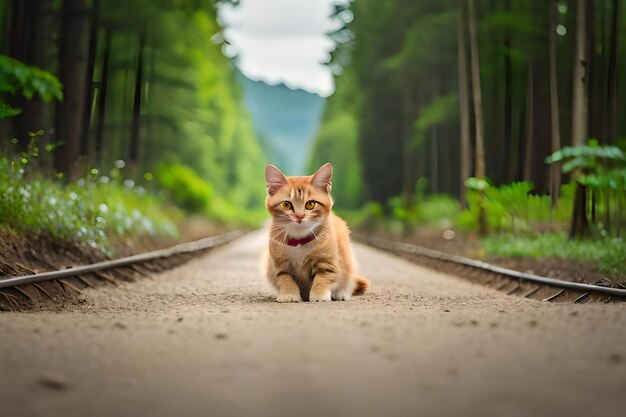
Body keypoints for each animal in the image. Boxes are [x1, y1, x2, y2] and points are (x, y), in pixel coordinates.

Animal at [262, 161, 366, 300]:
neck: (299, 241)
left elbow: (323, 278)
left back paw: (341, 293)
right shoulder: (278, 265)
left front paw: (319, 294)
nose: (300, 216)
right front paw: (289, 294)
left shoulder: (328, 263)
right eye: (286, 205)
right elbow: (285, 279)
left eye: (310, 204)